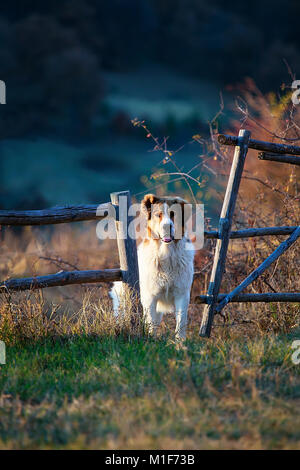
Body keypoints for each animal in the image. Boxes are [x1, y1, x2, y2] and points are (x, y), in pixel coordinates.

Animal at [110, 193, 195, 340]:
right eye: (158, 215)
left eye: (173, 214)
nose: (167, 226)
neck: (167, 254)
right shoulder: (150, 296)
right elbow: (151, 322)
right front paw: (151, 339)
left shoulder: (182, 294)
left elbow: (181, 322)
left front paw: (180, 343)